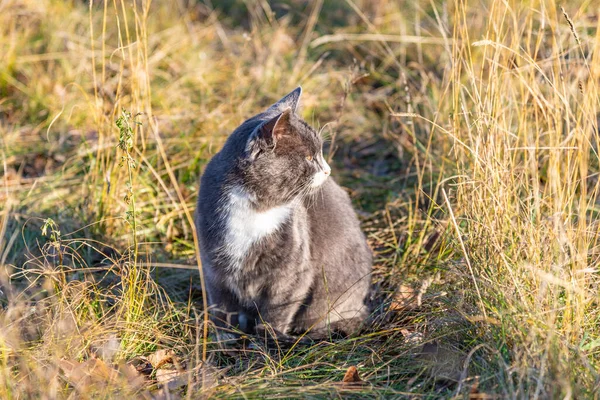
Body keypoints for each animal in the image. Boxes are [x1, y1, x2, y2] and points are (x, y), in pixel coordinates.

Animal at [197, 88, 372, 340]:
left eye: (320, 153)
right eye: (309, 158)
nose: (328, 170)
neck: (258, 209)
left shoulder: (293, 273)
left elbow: (278, 309)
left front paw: (268, 338)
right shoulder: (213, 265)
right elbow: (222, 305)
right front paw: (225, 338)